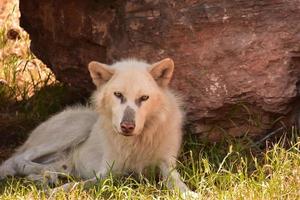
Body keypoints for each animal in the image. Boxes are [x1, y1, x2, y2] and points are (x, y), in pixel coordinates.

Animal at [0, 57, 198, 197]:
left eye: (144, 98)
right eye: (118, 95)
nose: (127, 127)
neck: (137, 143)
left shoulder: (167, 164)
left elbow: (177, 182)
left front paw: (189, 193)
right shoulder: (107, 172)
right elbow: (77, 185)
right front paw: (53, 192)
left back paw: (47, 176)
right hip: (78, 127)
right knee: (17, 160)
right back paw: (46, 175)